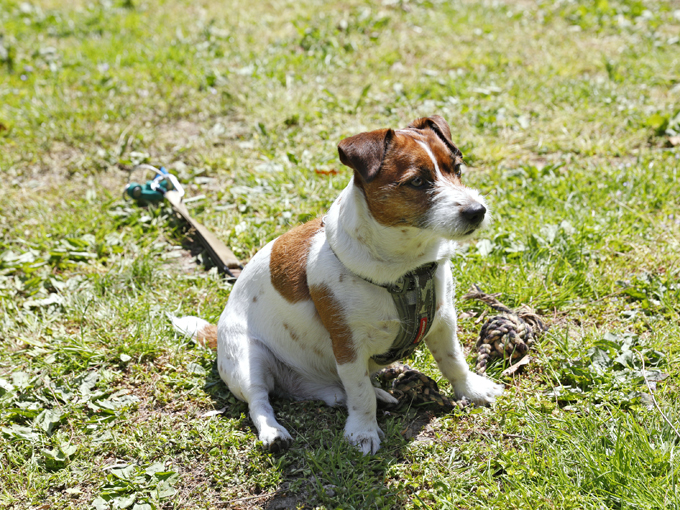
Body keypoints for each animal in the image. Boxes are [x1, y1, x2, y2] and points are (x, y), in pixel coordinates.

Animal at [174, 116, 504, 454]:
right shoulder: (348, 346)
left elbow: (453, 361)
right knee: (259, 401)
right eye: (417, 182)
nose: (477, 211)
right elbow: (360, 394)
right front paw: (363, 432)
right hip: (247, 360)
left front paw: (472, 390)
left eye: (457, 169)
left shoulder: (443, 321)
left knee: (334, 391)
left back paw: (370, 395)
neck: (405, 269)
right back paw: (274, 432)